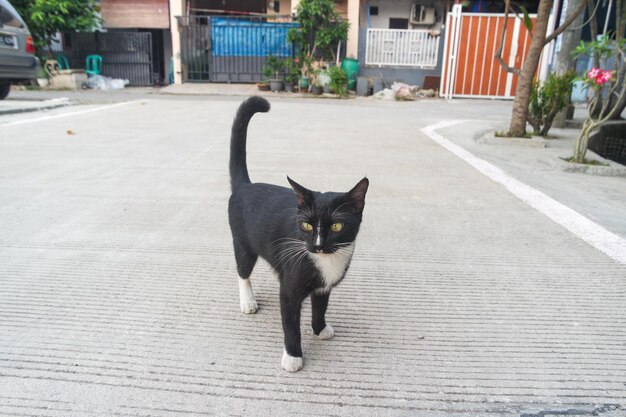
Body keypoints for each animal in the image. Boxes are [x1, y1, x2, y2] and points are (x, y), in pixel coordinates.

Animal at [228, 95, 366, 370]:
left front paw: (320, 329)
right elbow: (290, 324)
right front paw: (293, 357)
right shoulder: (290, 292)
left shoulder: (323, 287)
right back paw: (247, 301)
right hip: (242, 242)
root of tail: (245, 186)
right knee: (242, 271)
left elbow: (320, 306)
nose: (318, 245)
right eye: (307, 225)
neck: (326, 261)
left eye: (337, 226)